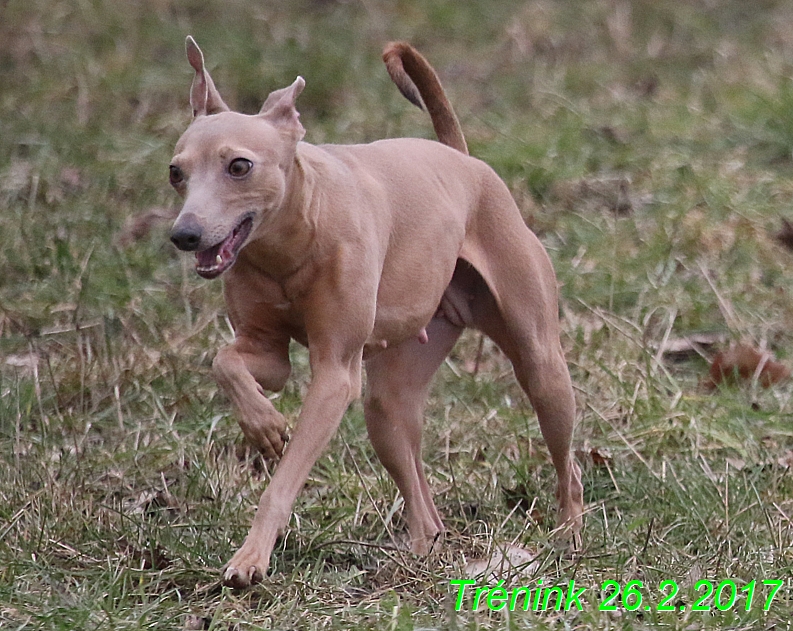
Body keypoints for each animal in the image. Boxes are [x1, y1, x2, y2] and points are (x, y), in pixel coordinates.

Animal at [169, 38, 580, 588]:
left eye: (239, 166)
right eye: (176, 172)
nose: (184, 234)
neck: (292, 242)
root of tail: (462, 159)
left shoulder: (336, 374)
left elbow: (283, 481)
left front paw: (251, 557)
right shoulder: (267, 352)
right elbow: (227, 362)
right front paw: (264, 426)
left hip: (541, 366)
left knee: (568, 464)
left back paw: (569, 537)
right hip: (388, 405)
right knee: (421, 500)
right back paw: (422, 554)